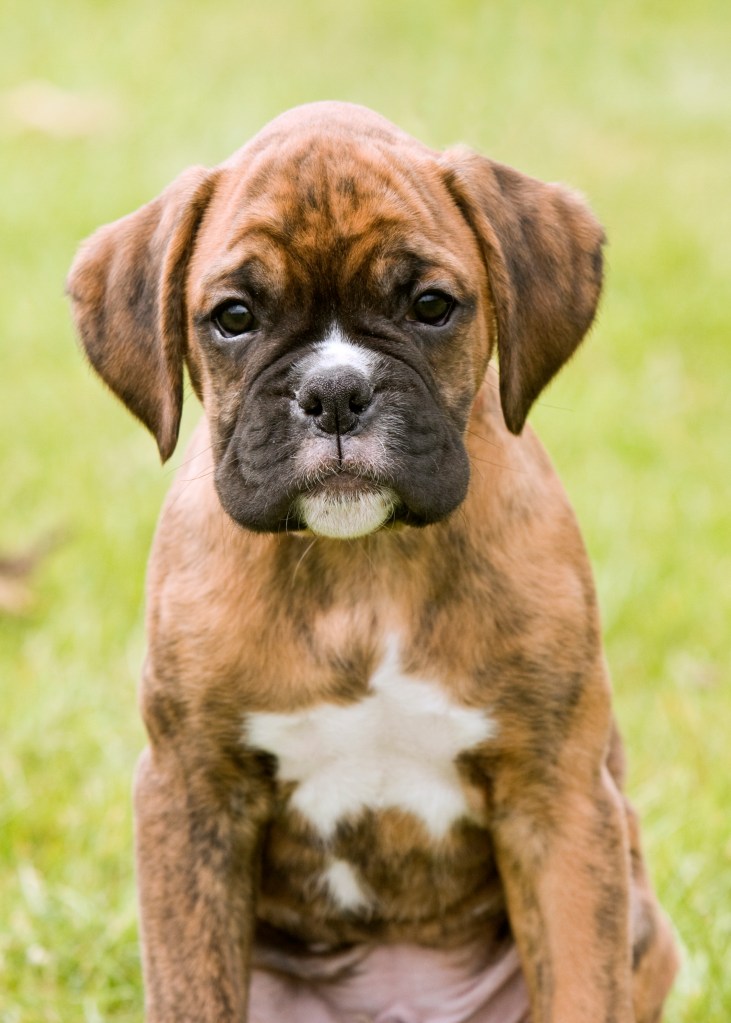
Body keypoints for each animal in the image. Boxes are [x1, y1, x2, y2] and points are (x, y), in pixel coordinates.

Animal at [68, 103, 678, 1023]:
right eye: (233, 316)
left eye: (430, 306)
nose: (334, 393)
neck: (362, 569)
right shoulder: (190, 794)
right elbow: (191, 990)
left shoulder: (557, 800)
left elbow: (579, 984)